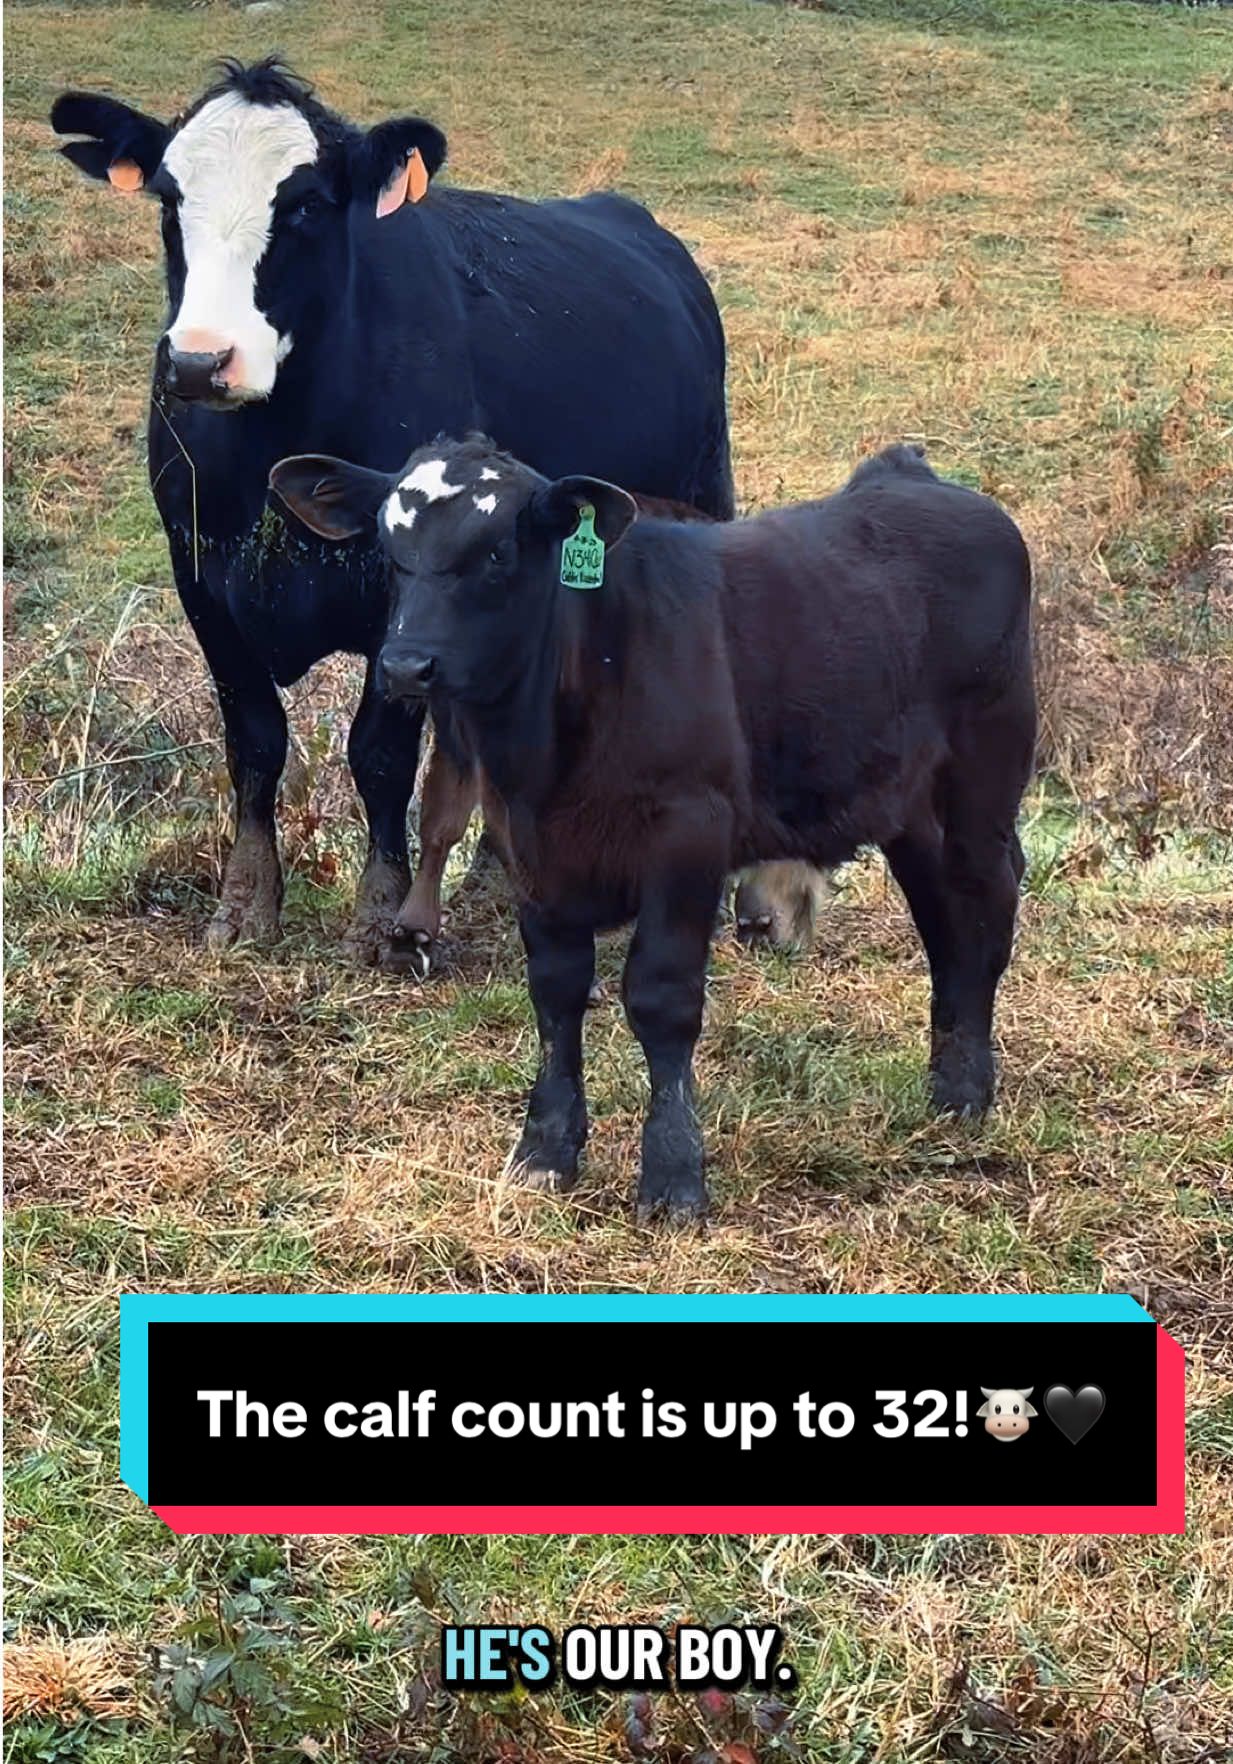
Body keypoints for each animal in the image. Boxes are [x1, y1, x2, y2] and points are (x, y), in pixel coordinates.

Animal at [50, 58, 736, 968]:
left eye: (306, 204)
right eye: (168, 198)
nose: (199, 362)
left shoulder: (400, 597)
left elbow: (378, 754)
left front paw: (380, 914)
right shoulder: (201, 580)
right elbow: (254, 743)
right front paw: (245, 903)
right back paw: (496, 875)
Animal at [269, 437, 1036, 1221]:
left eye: (497, 553)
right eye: (390, 553)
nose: (404, 665)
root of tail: (914, 477)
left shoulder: (688, 836)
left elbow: (662, 999)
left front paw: (672, 1174)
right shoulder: (529, 851)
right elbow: (556, 994)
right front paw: (545, 1150)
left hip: (983, 777)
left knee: (985, 903)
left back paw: (969, 1090)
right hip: (908, 807)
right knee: (942, 918)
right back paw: (946, 1083)